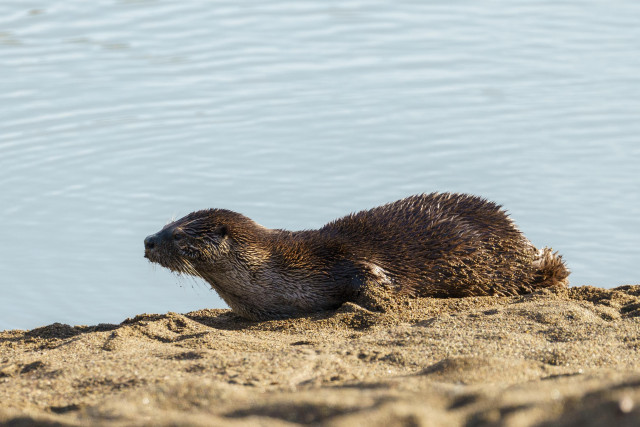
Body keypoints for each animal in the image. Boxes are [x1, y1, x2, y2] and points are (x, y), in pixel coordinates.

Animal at [144, 194, 568, 320]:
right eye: (166, 224)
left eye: (177, 234)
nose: (148, 240)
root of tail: (518, 236)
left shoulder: (336, 259)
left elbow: (371, 273)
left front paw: (380, 299)